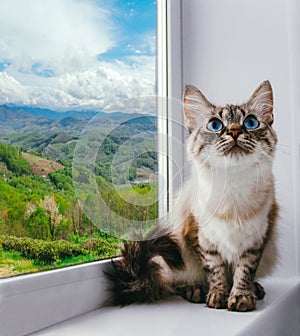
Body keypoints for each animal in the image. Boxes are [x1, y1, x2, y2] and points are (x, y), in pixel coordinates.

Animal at [104, 80, 278, 312]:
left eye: (250, 122)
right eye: (215, 125)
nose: (234, 131)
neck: (233, 187)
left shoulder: (256, 240)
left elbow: (243, 273)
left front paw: (241, 298)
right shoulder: (200, 239)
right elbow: (215, 271)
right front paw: (217, 297)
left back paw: (256, 290)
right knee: (176, 283)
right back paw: (196, 291)